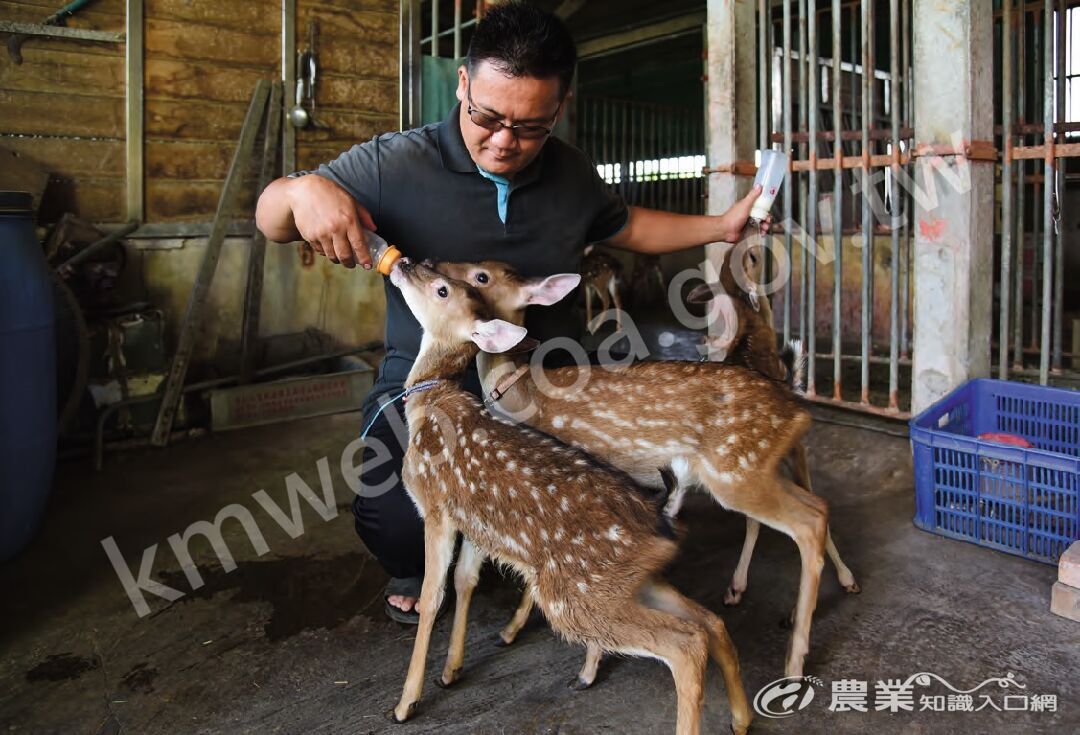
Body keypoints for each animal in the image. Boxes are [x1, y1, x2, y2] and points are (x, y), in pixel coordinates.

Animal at [388, 259, 751, 733]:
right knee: (710, 622)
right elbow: (466, 579)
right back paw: (741, 718)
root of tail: (659, 522)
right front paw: (451, 671)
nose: (406, 262)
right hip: (625, 584)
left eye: (443, 290)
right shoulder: (475, 524)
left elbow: (433, 598)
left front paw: (406, 702)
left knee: (685, 644)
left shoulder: (435, 506)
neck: (429, 407)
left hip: (574, 596)